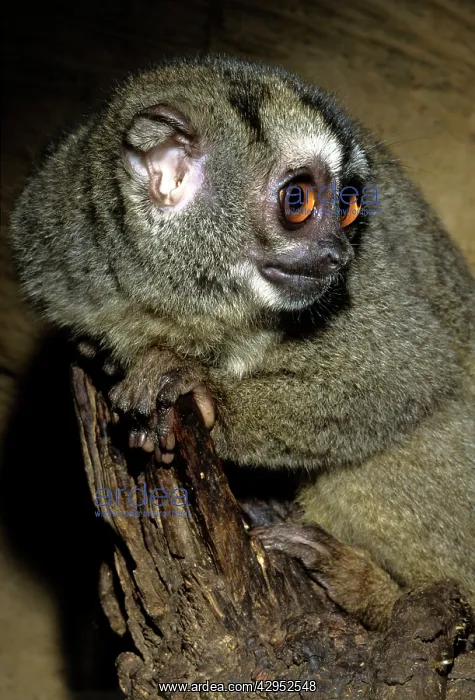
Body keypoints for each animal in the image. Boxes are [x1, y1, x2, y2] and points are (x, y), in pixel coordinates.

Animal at [9, 55, 475, 631]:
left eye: (349, 209)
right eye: (298, 200)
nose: (340, 254)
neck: (189, 300)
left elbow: (408, 372)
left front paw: (198, 390)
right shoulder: (54, 246)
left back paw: (375, 595)